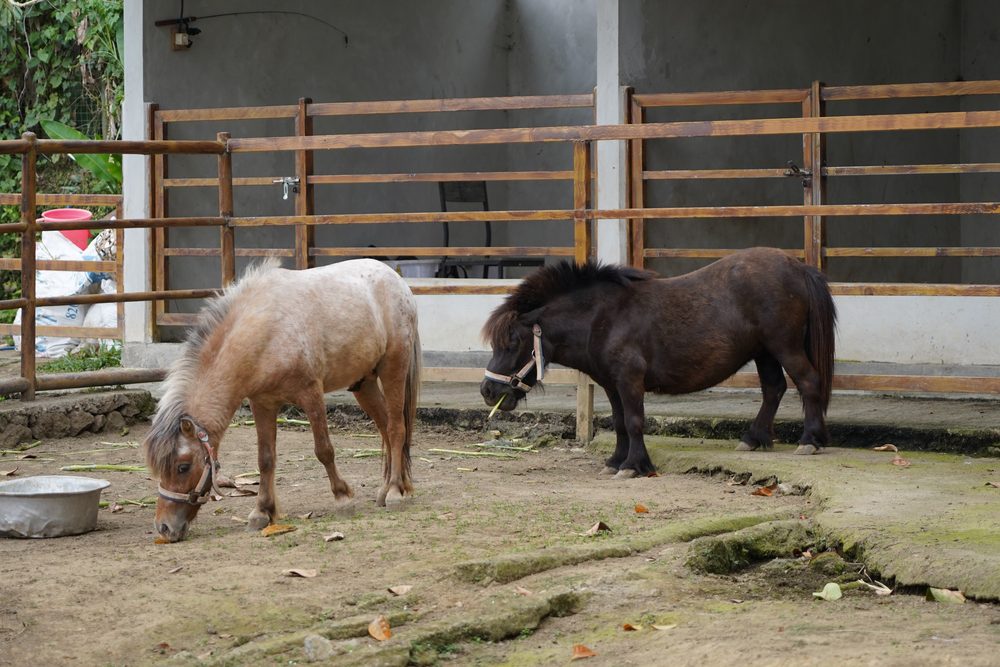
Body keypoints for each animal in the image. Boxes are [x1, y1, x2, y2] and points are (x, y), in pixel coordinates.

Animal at [143, 258, 421, 542]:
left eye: (183, 467)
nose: (164, 527)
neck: (266, 333)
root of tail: (395, 279)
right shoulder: (262, 403)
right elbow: (265, 459)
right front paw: (262, 512)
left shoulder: (311, 394)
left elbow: (324, 450)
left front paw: (343, 498)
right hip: (363, 384)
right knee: (385, 428)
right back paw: (390, 488)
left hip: (393, 368)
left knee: (396, 429)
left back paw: (395, 492)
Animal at [480, 247, 836, 478]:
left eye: (513, 342)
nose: (487, 391)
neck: (602, 317)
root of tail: (799, 268)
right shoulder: (611, 384)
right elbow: (620, 422)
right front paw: (616, 460)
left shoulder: (629, 380)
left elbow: (635, 421)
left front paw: (633, 465)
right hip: (764, 352)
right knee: (773, 389)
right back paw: (753, 438)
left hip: (784, 346)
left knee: (808, 382)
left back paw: (810, 441)